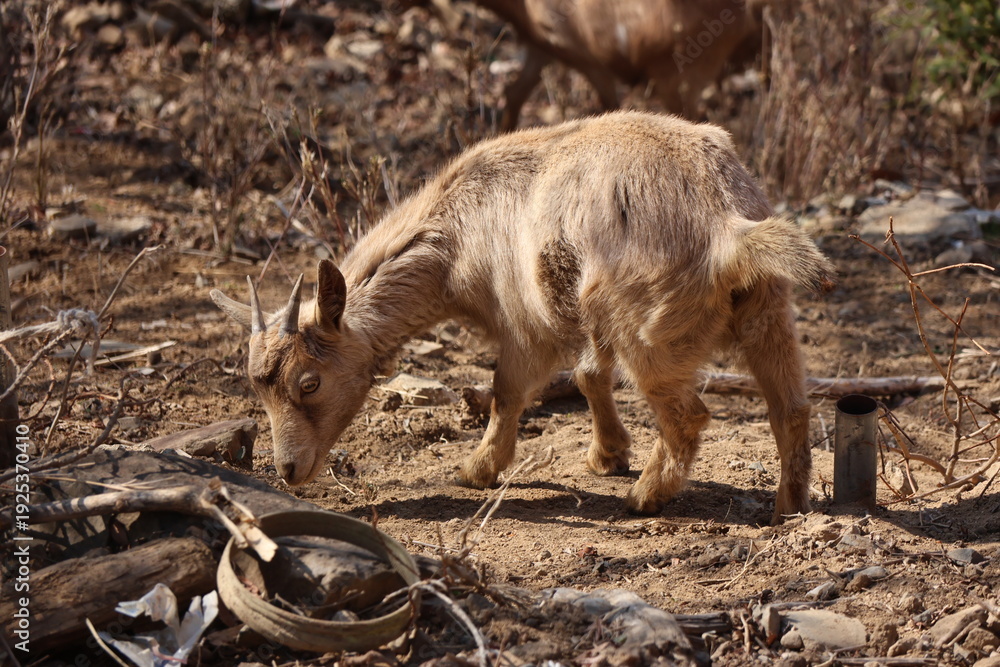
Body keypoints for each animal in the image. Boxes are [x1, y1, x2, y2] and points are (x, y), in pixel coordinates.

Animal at [211, 110, 834, 524]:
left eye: (309, 383)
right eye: (259, 390)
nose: (289, 471)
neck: (455, 232)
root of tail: (726, 225)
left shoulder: (524, 324)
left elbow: (507, 392)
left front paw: (477, 469)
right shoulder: (585, 317)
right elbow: (589, 374)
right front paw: (607, 455)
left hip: (648, 332)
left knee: (689, 415)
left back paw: (646, 496)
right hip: (765, 311)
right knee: (791, 406)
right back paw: (789, 506)